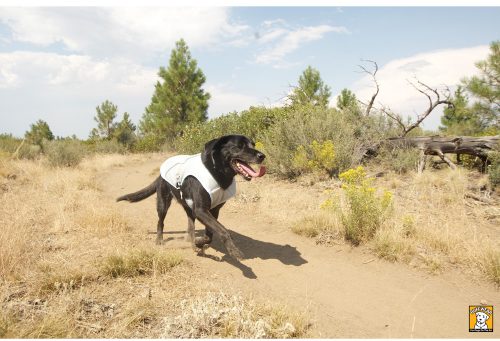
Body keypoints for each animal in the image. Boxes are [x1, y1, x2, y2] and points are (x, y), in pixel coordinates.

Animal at [116, 134, 266, 258]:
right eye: (239, 146)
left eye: (253, 144)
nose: (262, 156)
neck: (217, 172)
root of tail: (160, 174)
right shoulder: (201, 210)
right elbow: (222, 230)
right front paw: (233, 250)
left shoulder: (213, 210)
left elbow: (210, 234)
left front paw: (200, 242)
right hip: (163, 202)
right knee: (160, 222)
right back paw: (160, 240)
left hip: (188, 205)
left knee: (190, 223)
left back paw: (191, 240)